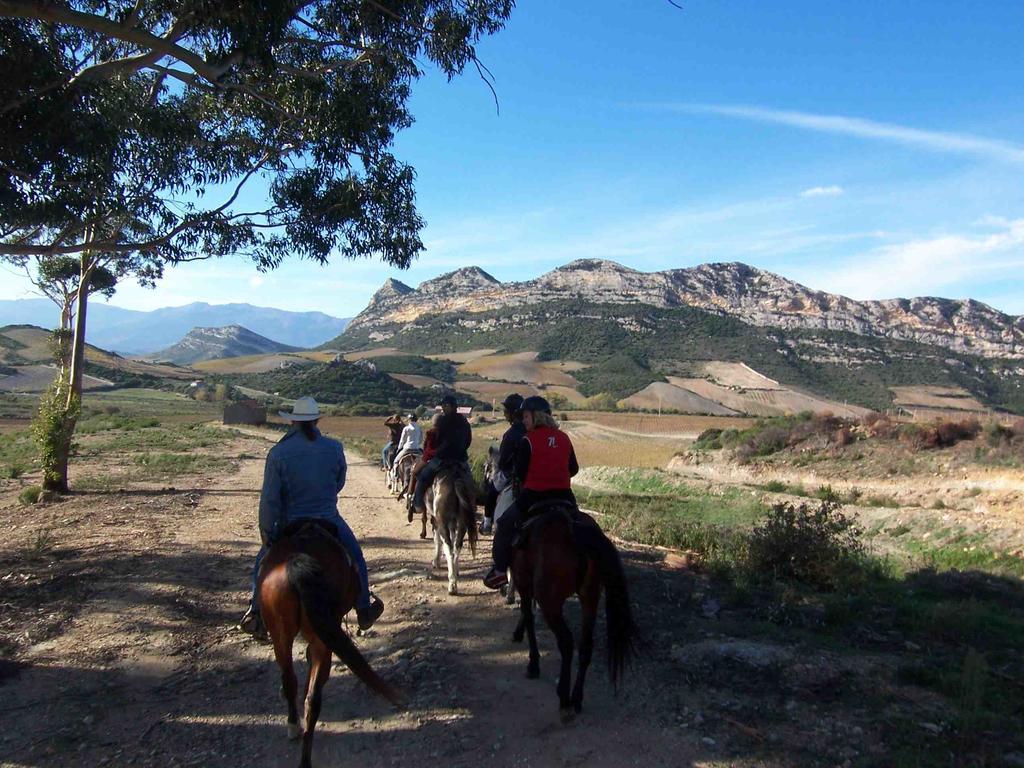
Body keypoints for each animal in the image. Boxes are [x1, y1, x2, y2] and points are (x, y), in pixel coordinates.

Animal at [258, 524, 405, 768]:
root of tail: (297, 561)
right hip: (300, 634)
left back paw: (297, 735)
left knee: (300, 687)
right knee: (303, 689)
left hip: (288, 636)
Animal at [509, 507, 630, 720]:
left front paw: (533, 663)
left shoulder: (523, 584)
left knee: (566, 642)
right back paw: (577, 698)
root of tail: (573, 529)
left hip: (550, 602)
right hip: (590, 597)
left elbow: (529, 617)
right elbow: (528, 614)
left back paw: (564, 697)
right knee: (585, 645)